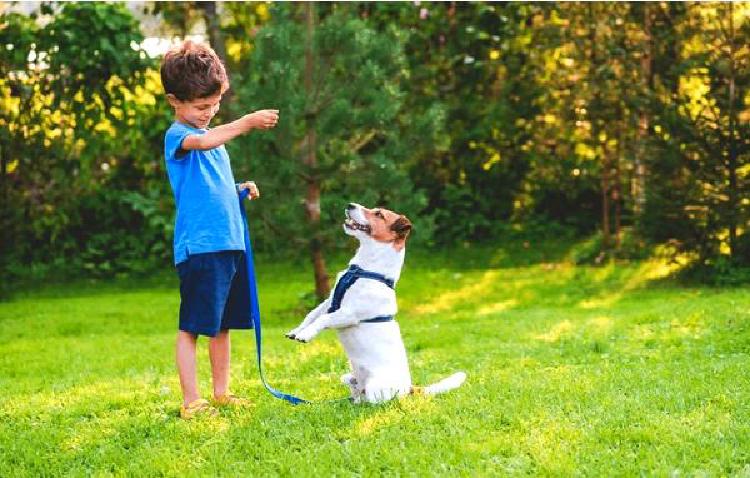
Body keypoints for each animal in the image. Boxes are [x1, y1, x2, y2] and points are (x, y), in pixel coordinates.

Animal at [286, 202, 468, 404]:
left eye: (379, 214)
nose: (350, 204)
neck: (364, 269)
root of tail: (410, 389)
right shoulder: (329, 301)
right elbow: (311, 315)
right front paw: (296, 331)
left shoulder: (348, 314)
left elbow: (323, 319)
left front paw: (305, 335)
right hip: (348, 376)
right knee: (355, 390)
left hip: (376, 389)